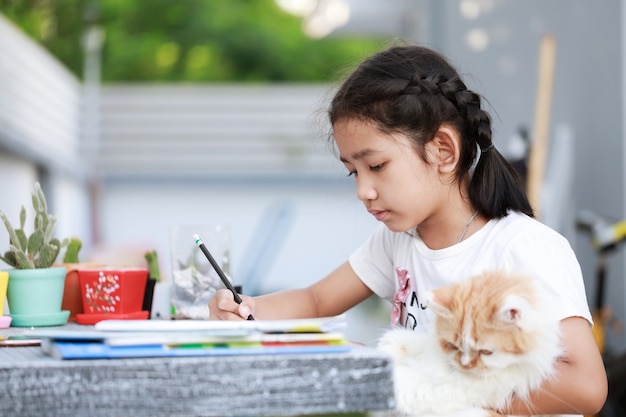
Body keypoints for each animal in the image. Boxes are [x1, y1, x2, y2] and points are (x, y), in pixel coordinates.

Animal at [376, 270, 560, 416]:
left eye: (486, 352)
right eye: (453, 346)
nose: (465, 364)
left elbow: (408, 384)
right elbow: (417, 342)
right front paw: (388, 347)